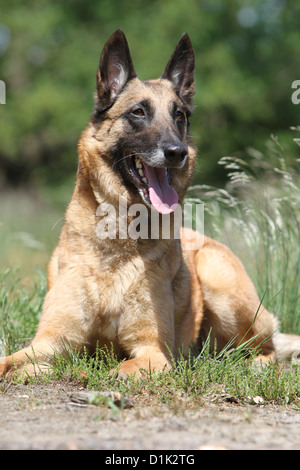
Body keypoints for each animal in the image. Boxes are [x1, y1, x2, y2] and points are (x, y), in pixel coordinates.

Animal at [0, 31, 300, 380]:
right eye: (138, 113)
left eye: (179, 115)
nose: (177, 152)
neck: (119, 235)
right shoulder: (49, 342)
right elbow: (10, 360)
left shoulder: (151, 351)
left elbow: (120, 367)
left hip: (219, 281)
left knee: (265, 348)